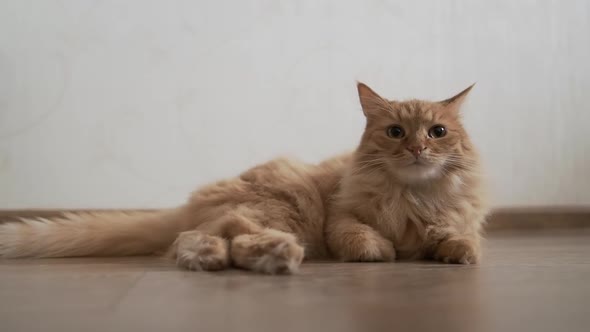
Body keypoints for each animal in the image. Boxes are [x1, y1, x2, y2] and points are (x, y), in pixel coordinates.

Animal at [0, 83, 490, 274]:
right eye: (395, 132)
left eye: (437, 132)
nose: (417, 149)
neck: (414, 196)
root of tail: (192, 201)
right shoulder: (340, 217)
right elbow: (362, 238)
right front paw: (380, 251)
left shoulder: (458, 219)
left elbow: (462, 239)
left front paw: (457, 252)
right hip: (282, 209)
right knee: (211, 238)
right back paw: (273, 257)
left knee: (198, 241)